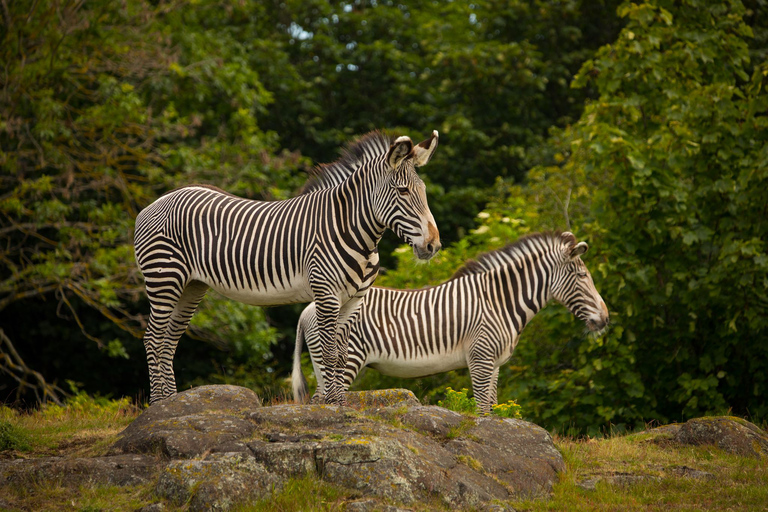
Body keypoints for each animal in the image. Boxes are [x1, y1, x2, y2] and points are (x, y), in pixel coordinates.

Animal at [135, 130, 440, 406]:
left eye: (424, 192)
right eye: (403, 191)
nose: (433, 245)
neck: (352, 230)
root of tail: (156, 202)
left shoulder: (354, 300)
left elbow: (342, 355)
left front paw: (341, 404)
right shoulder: (326, 294)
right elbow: (329, 352)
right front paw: (333, 405)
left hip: (191, 286)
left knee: (169, 340)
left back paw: (171, 402)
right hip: (164, 277)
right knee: (153, 338)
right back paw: (158, 404)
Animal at [292, 230, 608, 414]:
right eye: (583, 276)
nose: (605, 319)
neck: (499, 301)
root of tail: (308, 310)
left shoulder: (494, 364)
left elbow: (492, 408)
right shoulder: (480, 358)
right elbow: (482, 412)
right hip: (346, 357)